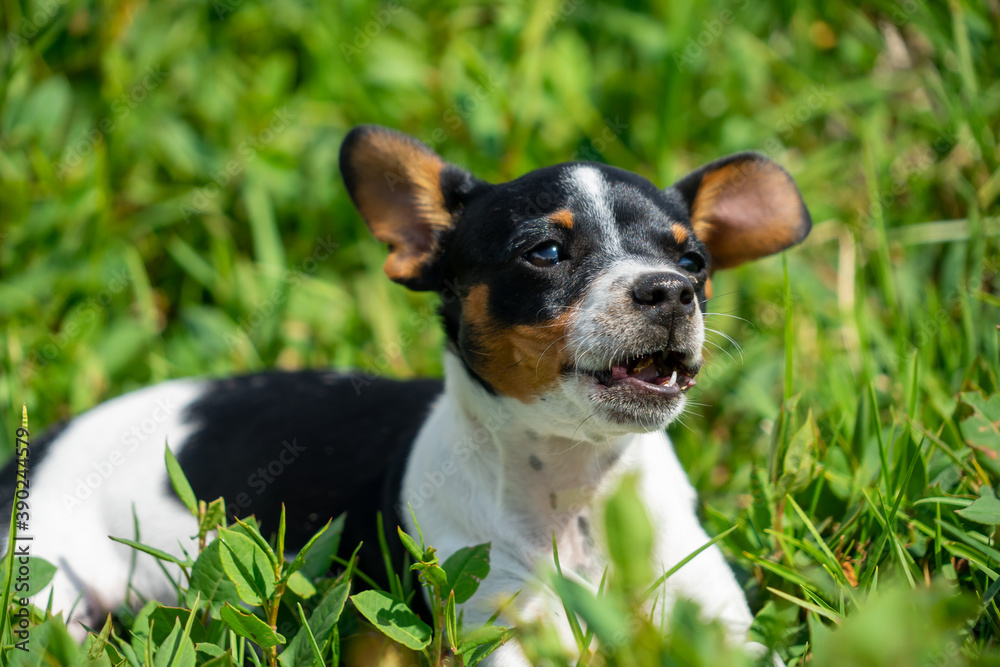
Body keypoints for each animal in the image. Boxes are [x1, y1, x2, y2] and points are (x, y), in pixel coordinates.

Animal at [0, 124, 808, 664]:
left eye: (693, 260)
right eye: (545, 252)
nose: (670, 291)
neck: (578, 490)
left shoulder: (721, 625)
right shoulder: (495, 626)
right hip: (51, 590)